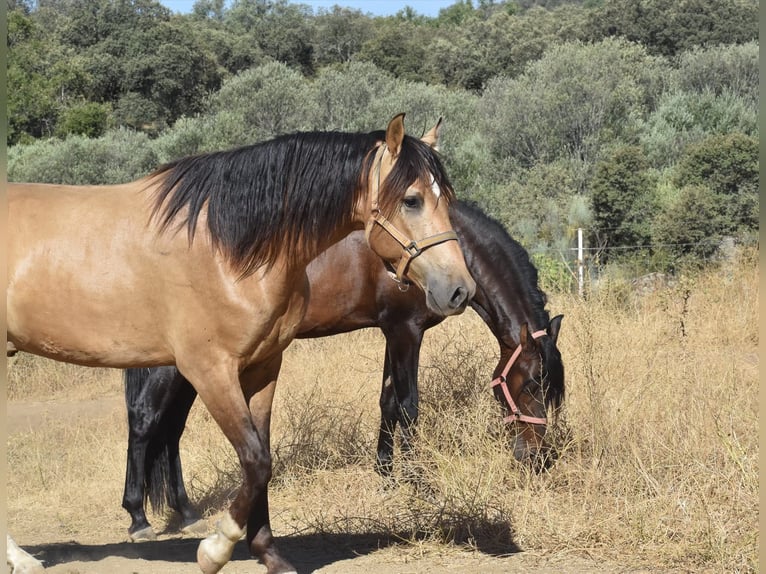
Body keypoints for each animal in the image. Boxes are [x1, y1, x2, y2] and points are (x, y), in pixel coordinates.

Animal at [6, 114, 476, 574]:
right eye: (412, 200)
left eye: (446, 199)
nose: (459, 289)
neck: (228, 248)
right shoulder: (211, 371)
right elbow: (255, 459)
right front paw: (216, 548)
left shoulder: (263, 367)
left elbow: (261, 457)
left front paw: (269, 554)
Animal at [120, 200, 565, 541]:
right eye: (532, 384)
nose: (538, 458)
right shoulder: (406, 330)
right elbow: (409, 405)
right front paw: (418, 482)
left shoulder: (391, 331)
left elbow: (387, 401)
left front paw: (386, 475)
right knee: (145, 420)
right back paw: (138, 519)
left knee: (172, 429)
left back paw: (186, 513)